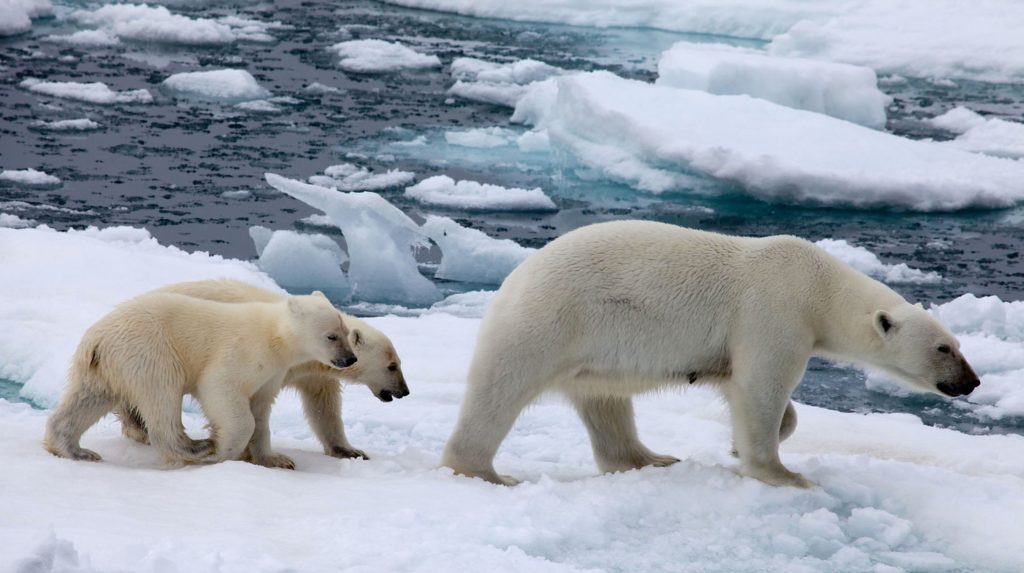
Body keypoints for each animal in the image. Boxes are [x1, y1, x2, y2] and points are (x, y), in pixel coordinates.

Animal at [44, 290, 358, 467]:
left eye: (348, 332)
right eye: (332, 336)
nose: (350, 359)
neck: (273, 337)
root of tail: (96, 338)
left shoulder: (270, 375)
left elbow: (260, 411)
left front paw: (275, 459)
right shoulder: (242, 352)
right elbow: (222, 390)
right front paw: (220, 448)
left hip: (103, 366)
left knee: (86, 399)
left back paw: (75, 450)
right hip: (149, 350)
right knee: (162, 395)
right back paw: (194, 447)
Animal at [442, 220, 980, 488]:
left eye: (958, 345)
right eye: (943, 348)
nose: (972, 382)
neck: (819, 287)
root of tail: (513, 279)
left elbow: (744, 389)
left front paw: (740, 445)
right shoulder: (774, 312)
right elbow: (760, 388)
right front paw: (784, 474)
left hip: (591, 354)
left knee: (605, 403)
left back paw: (652, 459)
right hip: (550, 323)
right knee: (499, 391)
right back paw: (487, 472)